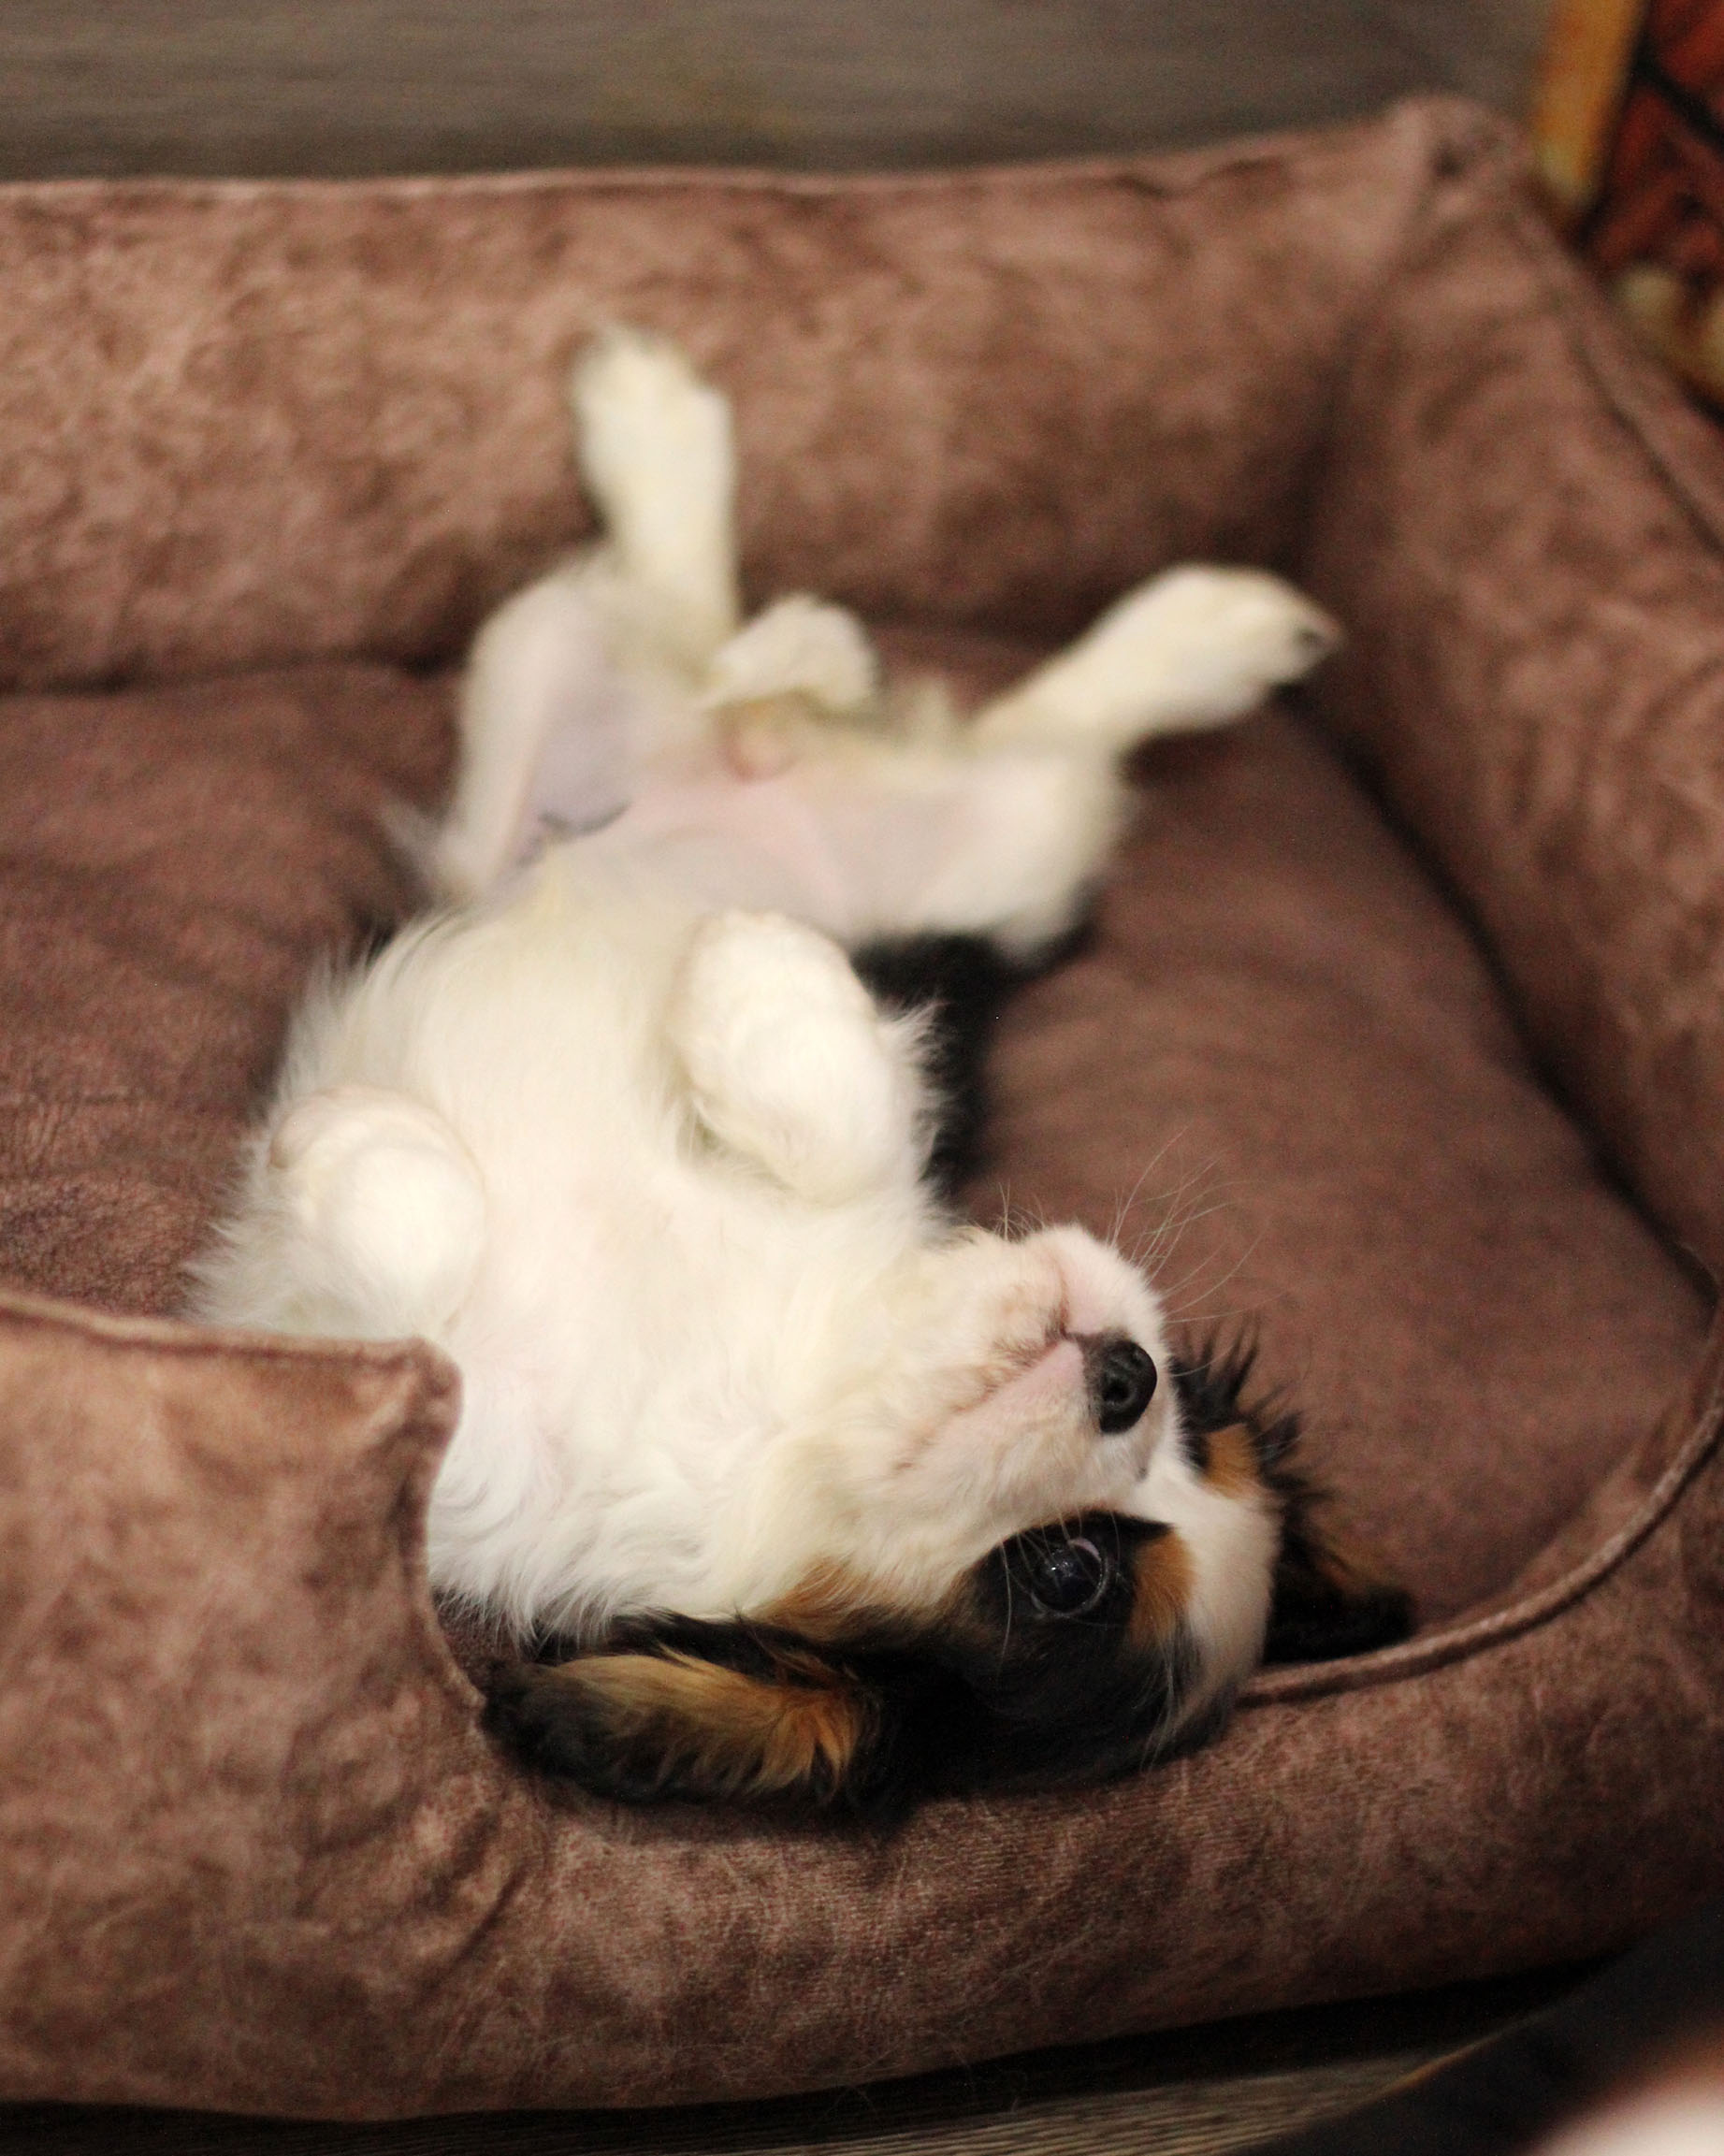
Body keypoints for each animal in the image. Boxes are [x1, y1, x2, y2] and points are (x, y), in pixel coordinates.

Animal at [190, 329, 1411, 1819]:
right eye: (1187, 1411)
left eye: (1067, 1573)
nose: (1124, 1371)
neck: (790, 1388)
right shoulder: (885, 1137)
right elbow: (847, 1102)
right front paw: (753, 969)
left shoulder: (455, 1458)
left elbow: (409, 1250)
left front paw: (344, 1143)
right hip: (702, 739)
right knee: (765, 646)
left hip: (984, 834)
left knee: (1008, 724)